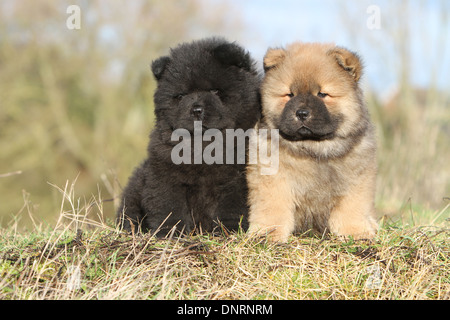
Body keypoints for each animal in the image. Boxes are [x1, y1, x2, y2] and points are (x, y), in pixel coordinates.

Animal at [117, 38, 260, 236]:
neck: (203, 146)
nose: (196, 109)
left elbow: (231, 208)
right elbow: (170, 207)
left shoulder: (237, 179)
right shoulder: (165, 175)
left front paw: (228, 230)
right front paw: (171, 232)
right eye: (182, 95)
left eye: (216, 91)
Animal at [248, 43, 378, 242]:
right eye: (290, 95)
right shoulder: (272, 178)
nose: (301, 113)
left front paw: (356, 233)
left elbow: (351, 208)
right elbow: (272, 206)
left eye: (323, 94)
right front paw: (267, 233)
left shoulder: (357, 178)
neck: (314, 148)